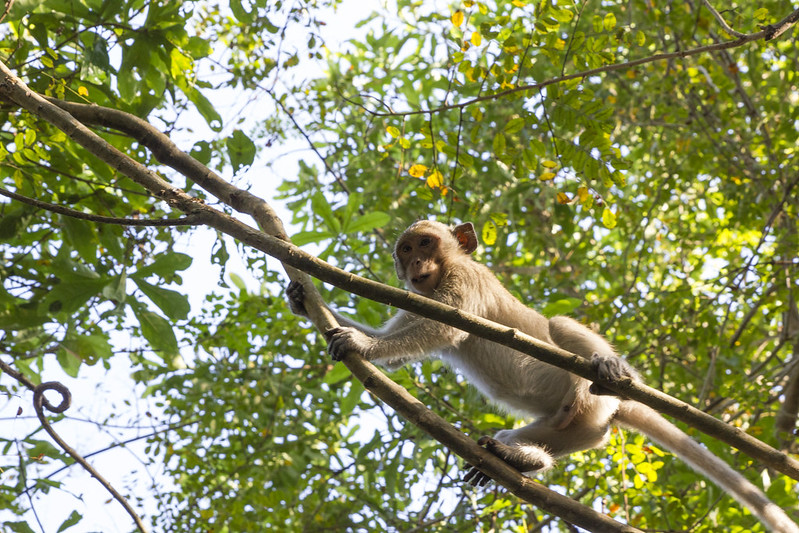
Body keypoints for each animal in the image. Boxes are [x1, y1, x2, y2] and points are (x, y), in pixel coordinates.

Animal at [288, 220, 799, 532]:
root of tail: (613, 407)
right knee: (541, 434)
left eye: (426, 244)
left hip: (590, 399)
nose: (414, 265)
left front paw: (362, 346)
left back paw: (608, 369)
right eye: (406, 249)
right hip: (579, 430)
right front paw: (305, 301)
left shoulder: (464, 283)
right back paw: (520, 458)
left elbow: (442, 328)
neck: (450, 269)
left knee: (560, 328)